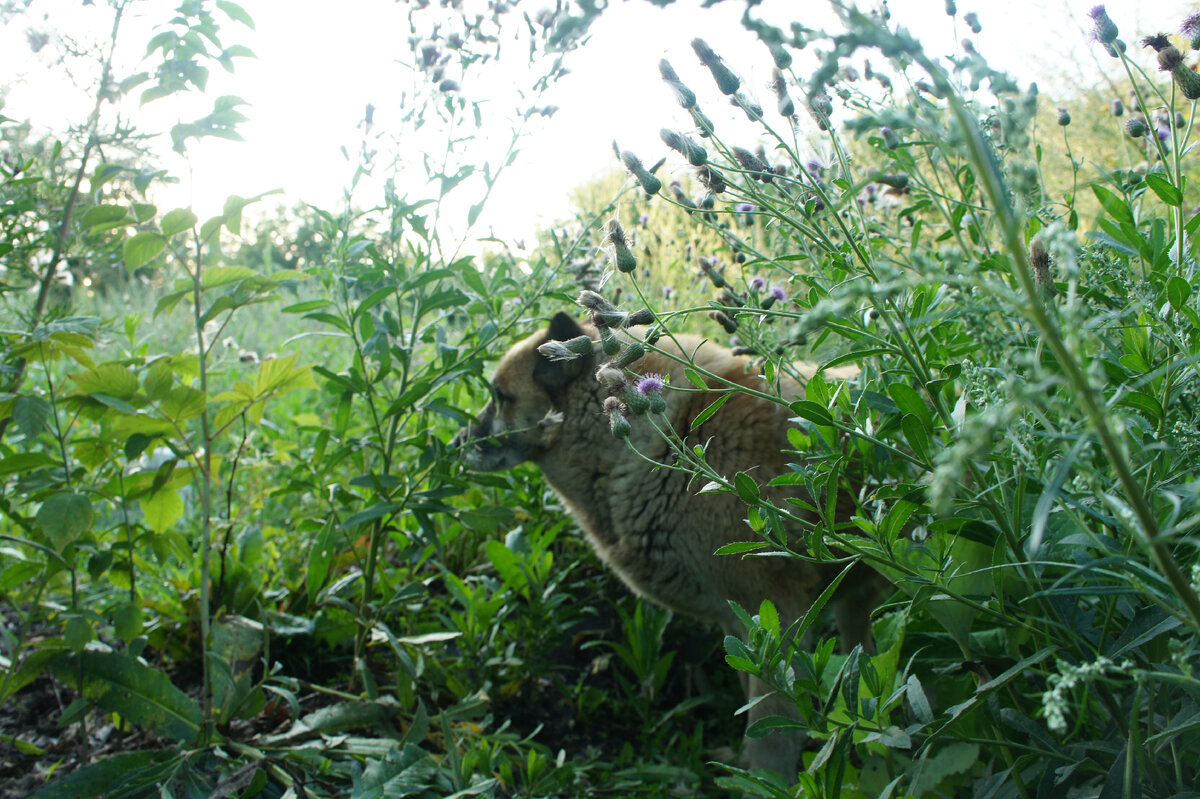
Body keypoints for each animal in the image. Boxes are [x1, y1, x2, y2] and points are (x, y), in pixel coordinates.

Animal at [453, 311, 888, 772]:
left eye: (500, 397)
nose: (455, 444)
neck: (671, 438)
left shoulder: (778, 618)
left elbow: (770, 733)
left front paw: (762, 778)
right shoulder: (739, 624)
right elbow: (749, 697)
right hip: (854, 604)